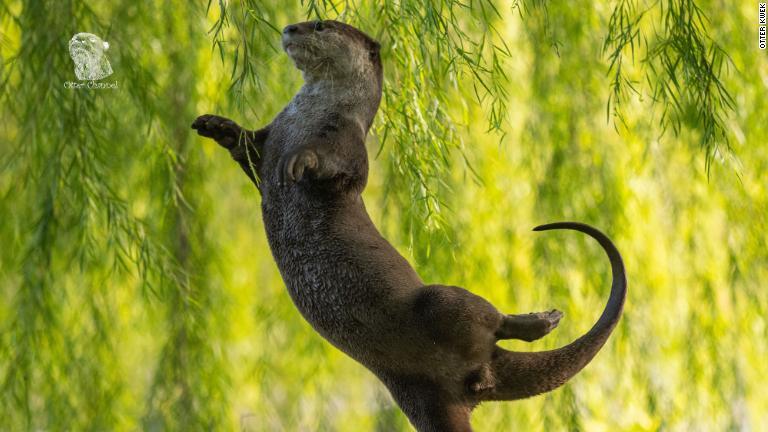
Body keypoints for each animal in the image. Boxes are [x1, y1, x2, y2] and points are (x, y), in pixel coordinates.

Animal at [192, 20, 624, 432]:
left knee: (487, 318)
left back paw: (542, 320)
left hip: (439, 301)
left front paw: (299, 160)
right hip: (417, 395)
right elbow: (246, 147)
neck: (307, 116)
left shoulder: (348, 145)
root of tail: (483, 374)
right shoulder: (269, 137)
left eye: (319, 25)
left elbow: (330, 165)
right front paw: (215, 124)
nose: (289, 29)